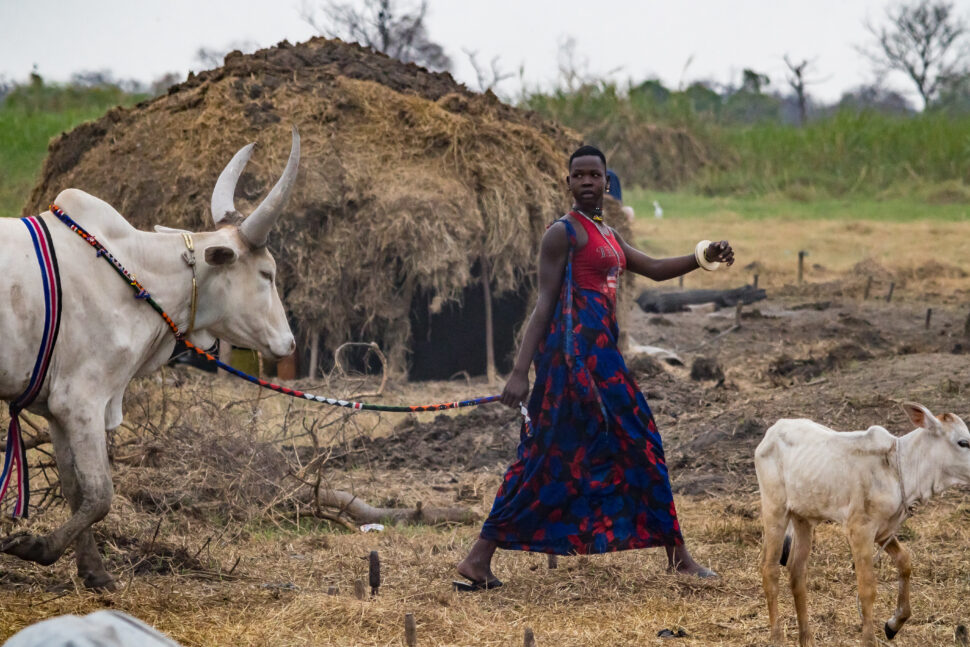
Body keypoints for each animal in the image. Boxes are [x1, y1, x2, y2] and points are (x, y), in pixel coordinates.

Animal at [752, 402, 968, 644]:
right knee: (769, 569)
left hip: (803, 517)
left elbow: (905, 561)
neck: (898, 468)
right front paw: (869, 640)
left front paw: (894, 623)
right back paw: (777, 638)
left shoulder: (884, 530)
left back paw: (806, 638)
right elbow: (867, 587)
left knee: (797, 571)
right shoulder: (859, 530)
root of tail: (774, 430)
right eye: (963, 442)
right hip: (775, 509)